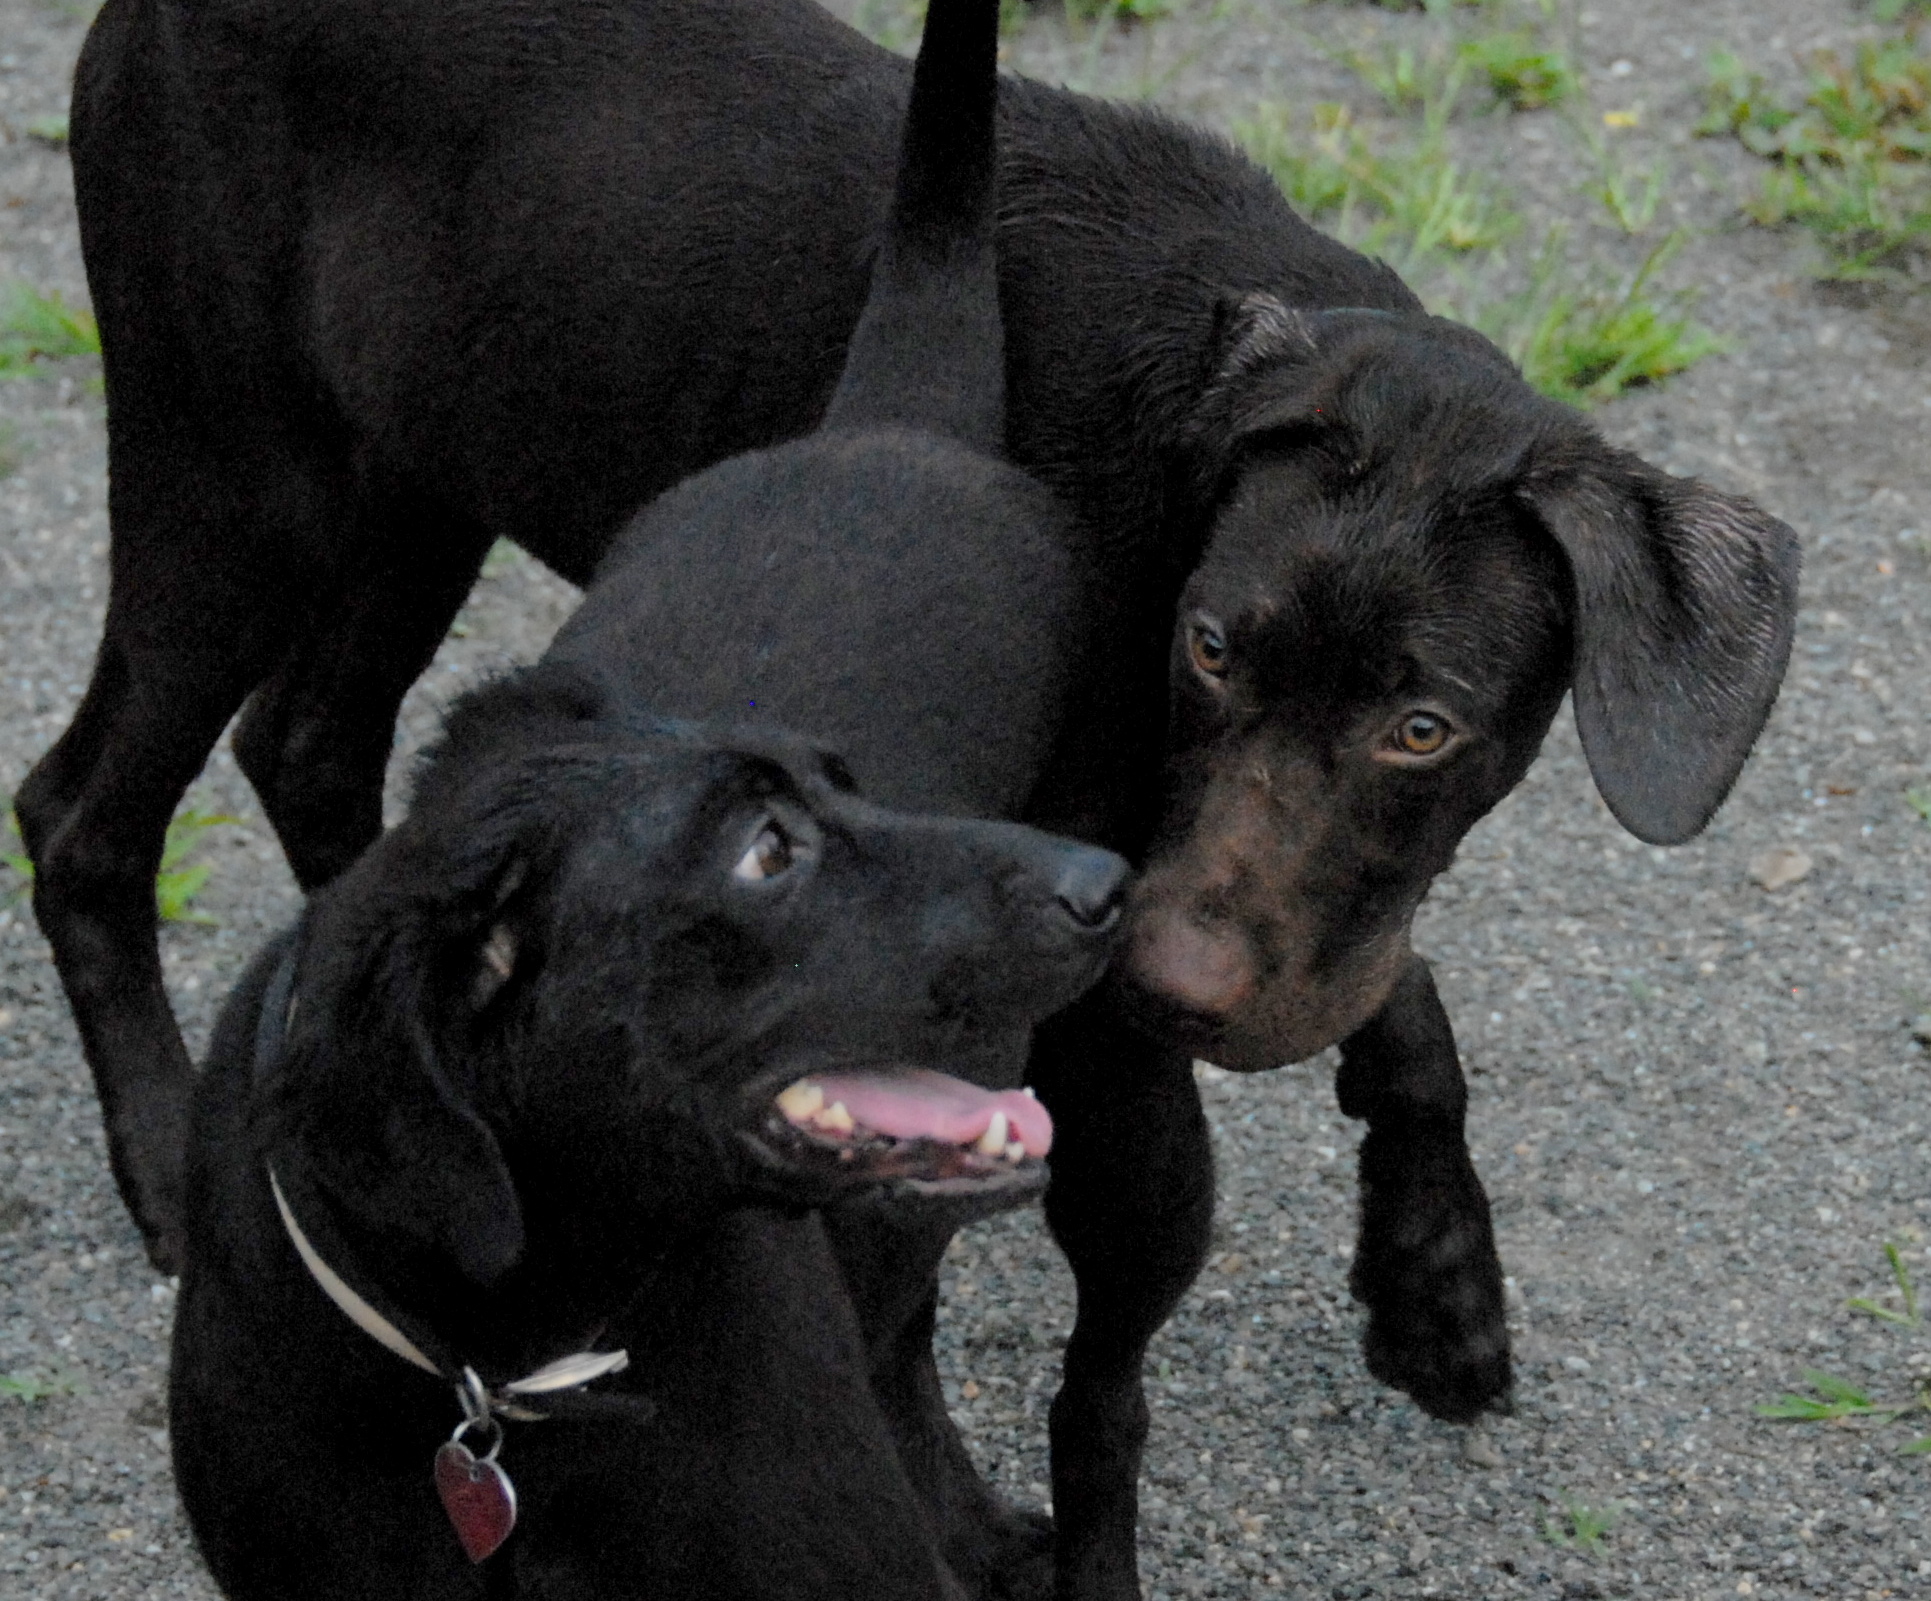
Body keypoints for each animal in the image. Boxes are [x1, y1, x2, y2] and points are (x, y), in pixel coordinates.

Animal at [29, 2, 1800, 1594]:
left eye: (1423, 727)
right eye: (1206, 645)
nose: (1162, 987)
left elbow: (1390, 988)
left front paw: (1437, 1285)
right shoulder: (1117, 914)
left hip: (408, 485)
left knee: (309, 742)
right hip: (228, 479)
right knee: (80, 812)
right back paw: (167, 1152)